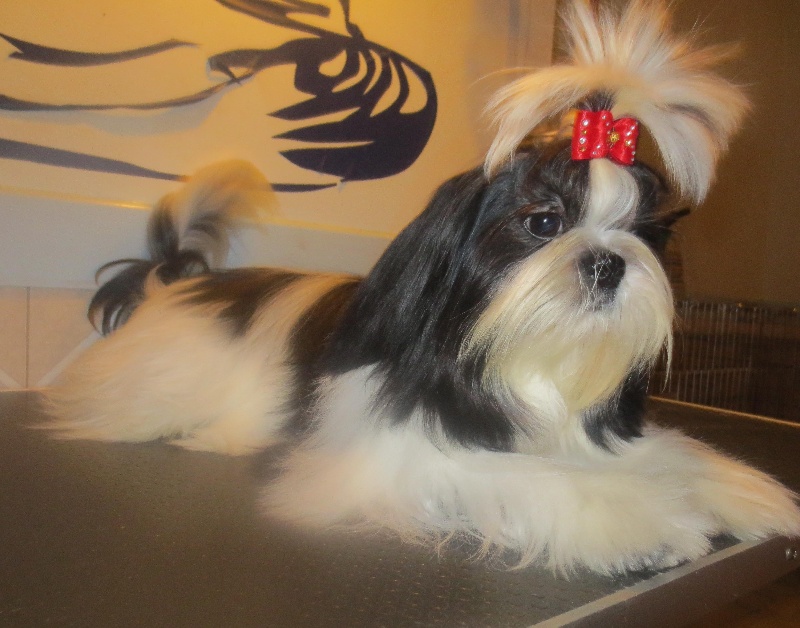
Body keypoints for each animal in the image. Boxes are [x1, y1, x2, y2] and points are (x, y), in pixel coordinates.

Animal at [46, 0, 800, 574]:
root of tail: (179, 286)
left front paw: (746, 492)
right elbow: (534, 478)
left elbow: (671, 454)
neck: (526, 374)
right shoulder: (401, 460)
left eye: (641, 232)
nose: (609, 261)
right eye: (543, 221)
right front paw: (651, 521)